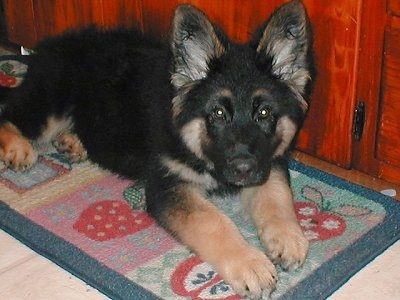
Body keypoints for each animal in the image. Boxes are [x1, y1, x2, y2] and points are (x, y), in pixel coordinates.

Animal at [0, 0, 314, 298]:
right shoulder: (167, 186)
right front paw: (250, 263)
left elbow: (277, 195)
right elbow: (213, 220)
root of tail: (50, 44)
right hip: (50, 104)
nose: (243, 170)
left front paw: (288, 237)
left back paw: (72, 142)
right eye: (217, 114)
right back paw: (18, 148)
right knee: (11, 113)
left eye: (264, 113)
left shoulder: (268, 160)